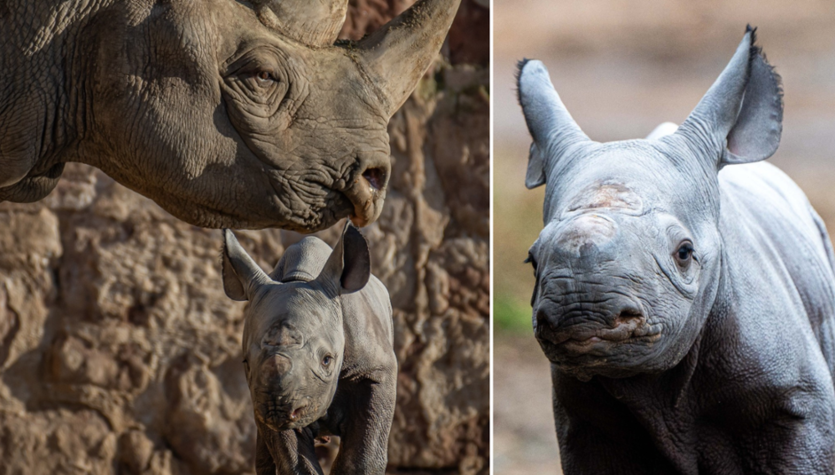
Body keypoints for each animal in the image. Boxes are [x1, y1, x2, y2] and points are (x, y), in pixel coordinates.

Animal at [222, 226, 398, 475]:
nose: (278, 409)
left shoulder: (374, 370)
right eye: (246, 363)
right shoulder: (278, 391)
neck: (301, 277)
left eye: (327, 360)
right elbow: (295, 461)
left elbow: (362, 457)